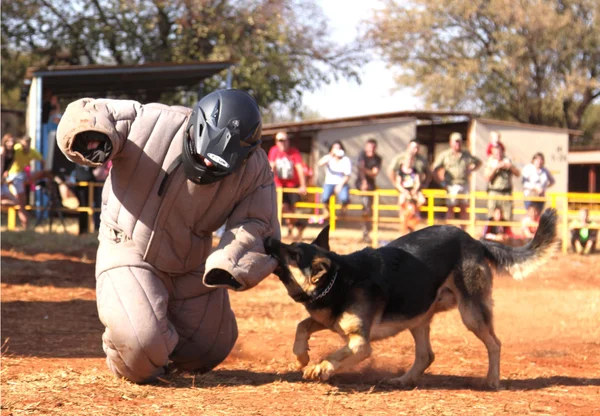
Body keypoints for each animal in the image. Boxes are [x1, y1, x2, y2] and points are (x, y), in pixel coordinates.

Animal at [264, 210, 556, 388]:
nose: (267, 240)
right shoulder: (327, 320)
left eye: (292, 254)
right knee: (426, 355)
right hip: (418, 319)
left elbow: (336, 353)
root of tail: (475, 241)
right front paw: (302, 356)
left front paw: (320, 367)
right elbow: (302, 326)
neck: (338, 281)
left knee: (494, 344)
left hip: (471, 314)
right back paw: (404, 380)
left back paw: (492, 380)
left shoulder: (361, 344)